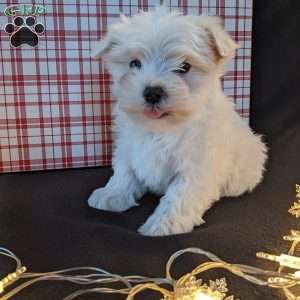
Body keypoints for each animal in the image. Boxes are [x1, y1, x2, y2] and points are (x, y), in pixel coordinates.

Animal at [87, 7, 268, 236]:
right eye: (134, 63)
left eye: (184, 67)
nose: (152, 92)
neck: (162, 128)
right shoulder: (127, 146)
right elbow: (125, 171)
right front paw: (112, 194)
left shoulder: (197, 165)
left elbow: (180, 195)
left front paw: (165, 222)